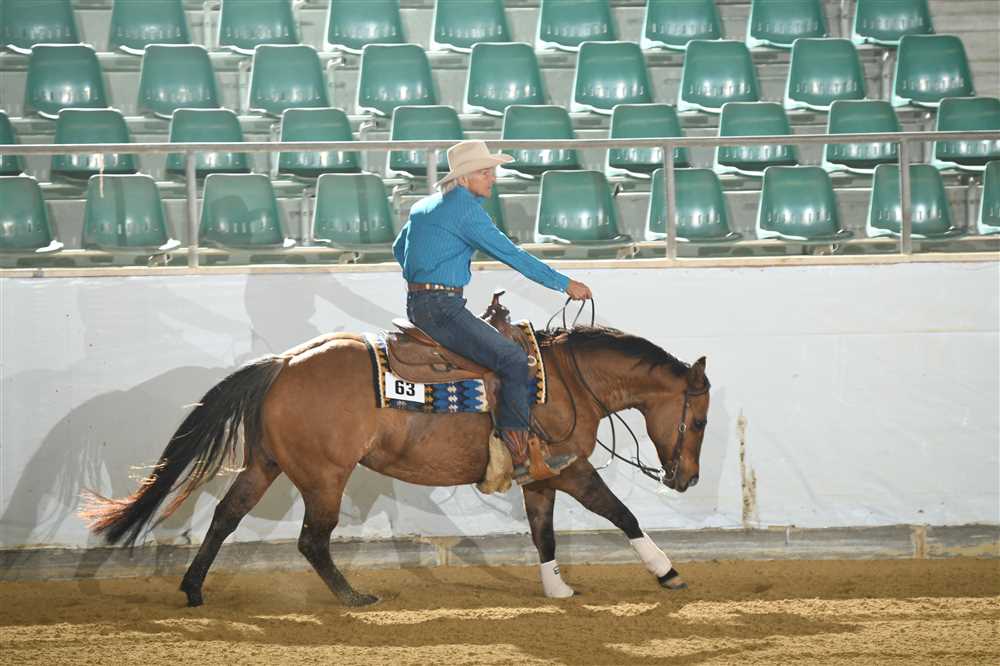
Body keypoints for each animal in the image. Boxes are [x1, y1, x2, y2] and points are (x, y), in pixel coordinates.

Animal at [82, 323, 710, 607]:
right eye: (700, 421)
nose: (688, 480)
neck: (564, 382)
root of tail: (284, 362)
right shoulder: (571, 468)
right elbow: (622, 514)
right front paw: (667, 572)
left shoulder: (542, 478)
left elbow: (544, 534)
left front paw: (555, 588)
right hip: (325, 477)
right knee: (312, 540)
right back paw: (353, 597)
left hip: (267, 465)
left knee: (226, 517)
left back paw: (193, 588)